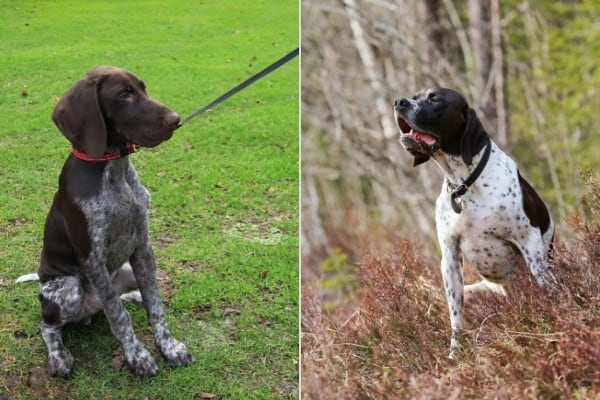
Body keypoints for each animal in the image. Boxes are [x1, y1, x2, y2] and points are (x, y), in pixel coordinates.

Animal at [394, 88, 552, 360]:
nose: (398, 102)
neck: (464, 184)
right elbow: (455, 318)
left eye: (435, 99)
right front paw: (454, 357)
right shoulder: (450, 257)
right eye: (416, 95)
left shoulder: (529, 243)